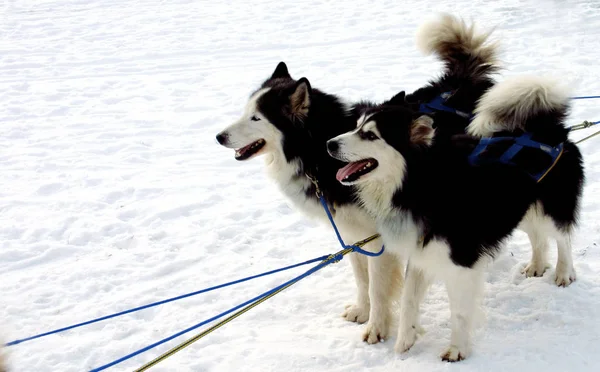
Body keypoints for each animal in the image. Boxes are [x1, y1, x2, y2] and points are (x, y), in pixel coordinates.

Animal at [216, 12, 502, 342]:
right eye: (245, 112)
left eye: (256, 118)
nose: (219, 137)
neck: (317, 151)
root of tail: (463, 81)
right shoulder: (352, 234)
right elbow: (362, 280)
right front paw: (362, 312)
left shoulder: (380, 238)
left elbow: (378, 287)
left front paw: (376, 328)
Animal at [326, 71, 584, 358]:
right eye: (356, 126)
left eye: (370, 135)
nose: (329, 143)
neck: (421, 184)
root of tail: (550, 128)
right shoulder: (421, 251)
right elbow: (408, 299)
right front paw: (405, 340)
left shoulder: (462, 260)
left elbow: (458, 311)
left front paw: (457, 350)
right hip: (521, 209)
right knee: (538, 237)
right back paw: (537, 265)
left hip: (551, 209)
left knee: (563, 237)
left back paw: (564, 273)